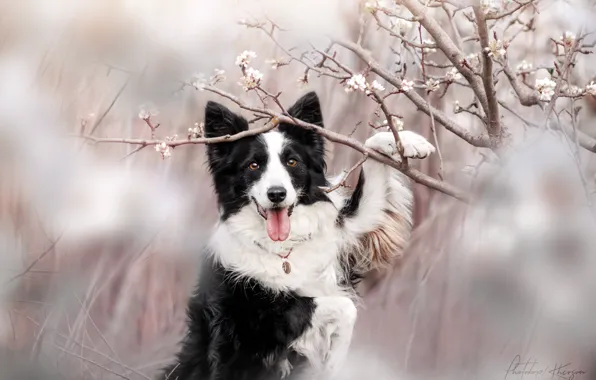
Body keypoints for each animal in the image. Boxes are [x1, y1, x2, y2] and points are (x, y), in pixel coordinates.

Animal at [162, 93, 434, 380]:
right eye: (253, 165)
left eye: (292, 162)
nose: (277, 194)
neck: (283, 251)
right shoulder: (256, 324)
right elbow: (338, 306)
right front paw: (337, 359)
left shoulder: (348, 235)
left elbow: (370, 173)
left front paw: (405, 142)